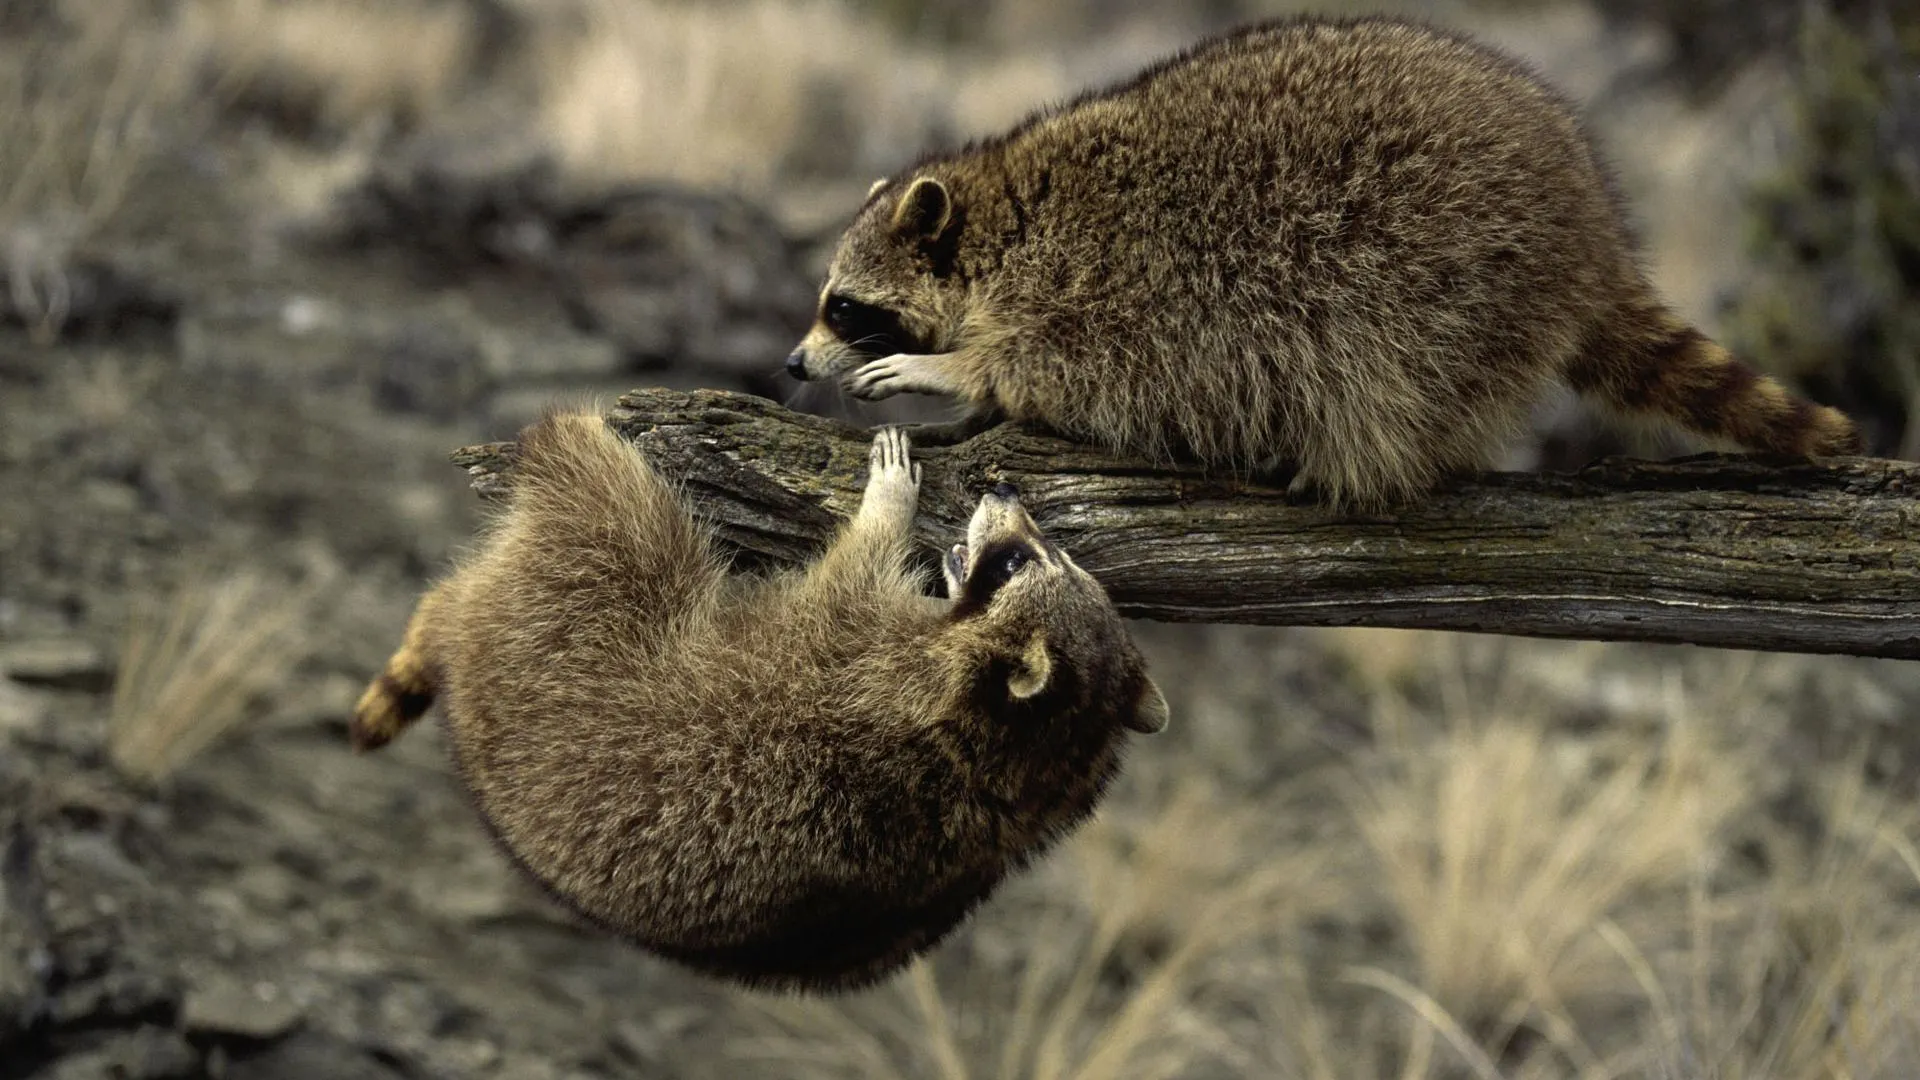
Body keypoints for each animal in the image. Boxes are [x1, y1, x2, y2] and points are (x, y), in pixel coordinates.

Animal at [350, 413, 1166, 991]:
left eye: (1016, 561)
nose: (1004, 493)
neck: (1035, 754)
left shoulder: (862, 653)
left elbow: (852, 567)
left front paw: (886, 506)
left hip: (562, 629)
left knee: (620, 519)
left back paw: (570, 443)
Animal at [786, 15, 1860, 508]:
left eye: (842, 307)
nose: (793, 363)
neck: (1002, 215)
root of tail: (1589, 227)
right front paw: (967, 404)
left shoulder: (1109, 291)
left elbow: (1065, 368)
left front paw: (952, 370)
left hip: (1448, 273)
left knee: (1393, 373)